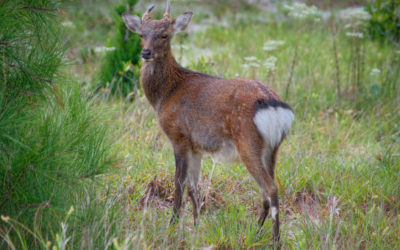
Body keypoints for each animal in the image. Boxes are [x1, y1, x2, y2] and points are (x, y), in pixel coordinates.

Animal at [122, 0, 294, 244]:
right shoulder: (196, 147)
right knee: (266, 191)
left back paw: (275, 239)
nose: (146, 52)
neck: (165, 94)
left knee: (271, 188)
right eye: (141, 34)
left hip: (248, 142)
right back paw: (255, 232)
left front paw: (172, 226)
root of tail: (276, 107)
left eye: (164, 35)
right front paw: (196, 225)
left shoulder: (178, 136)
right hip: (272, 149)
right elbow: (194, 187)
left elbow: (179, 184)